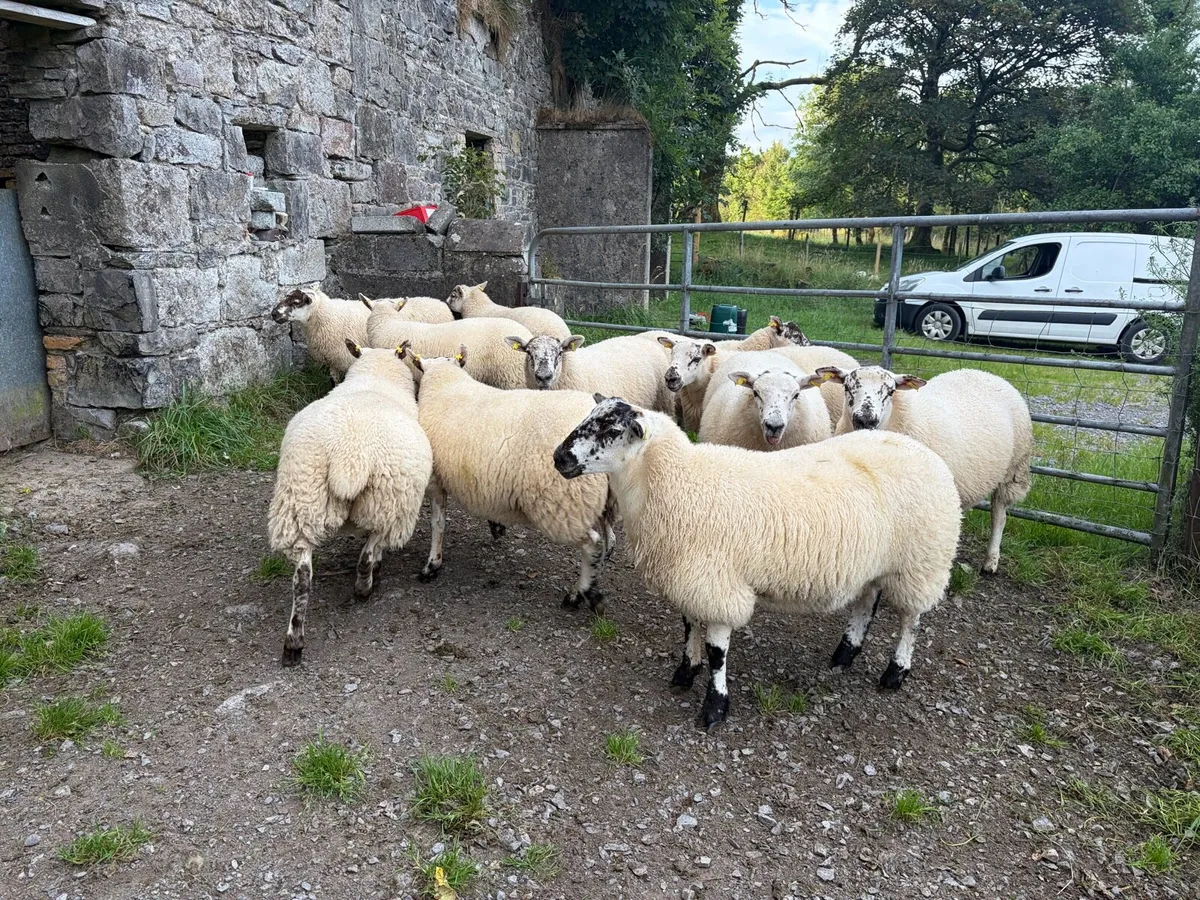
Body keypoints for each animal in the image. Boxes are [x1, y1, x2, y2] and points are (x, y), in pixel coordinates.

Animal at [267, 340, 432, 666]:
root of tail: (350, 456)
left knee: (302, 577)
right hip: (390, 504)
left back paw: (294, 642)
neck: (376, 378)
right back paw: (364, 588)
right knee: (369, 552)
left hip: (301, 500)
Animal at [404, 345, 615, 613]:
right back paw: (590, 586)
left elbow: (437, 524)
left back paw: (581, 594)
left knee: (592, 545)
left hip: (563, 505)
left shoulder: (435, 480)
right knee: (608, 543)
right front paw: (496, 526)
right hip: (600, 501)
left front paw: (432, 565)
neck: (445, 382)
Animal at [553, 397, 961, 728]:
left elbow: (717, 652)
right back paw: (845, 653)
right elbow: (689, 626)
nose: (559, 458)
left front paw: (715, 707)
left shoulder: (717, 583)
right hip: (879, 561)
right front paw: (685, 672)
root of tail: (926, 454)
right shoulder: (690, 576)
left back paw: (895, 672)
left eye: (612, 430)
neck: (676, 479)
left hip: (921, 562)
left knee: (911, 620)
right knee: (867, 600)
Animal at [809, 365, 1033, 575]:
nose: (865, 420)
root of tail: (986, 373)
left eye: (891, 391)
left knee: (999, 515)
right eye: (847, 387)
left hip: (1013, 470)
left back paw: (990, 561)